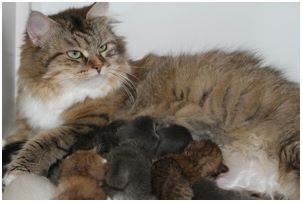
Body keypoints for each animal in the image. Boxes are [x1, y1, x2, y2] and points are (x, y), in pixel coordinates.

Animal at [4, 2, 300, 200]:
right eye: (75, 54)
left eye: (103, 48)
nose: (99, 66)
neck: (55, 91)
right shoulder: (27, 121)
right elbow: (20, 135)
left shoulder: (87, 123)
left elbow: (42, 143)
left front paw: (14, 172)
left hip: (289, 147)